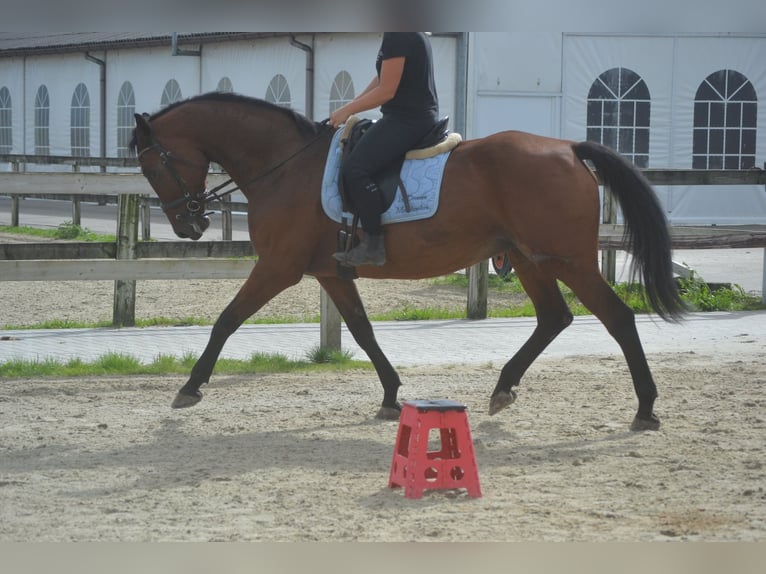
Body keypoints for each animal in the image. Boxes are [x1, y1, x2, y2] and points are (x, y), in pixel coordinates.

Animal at [129, 91, 688, 432]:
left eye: (152, 165)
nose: (188, 225)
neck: (286, 166)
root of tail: (569, 148)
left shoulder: (279, 268)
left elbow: (226, 320)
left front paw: (190, 387)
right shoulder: (331, 272)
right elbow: (362, 330)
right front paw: (391, 396)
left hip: (569, 260)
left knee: (618, 318)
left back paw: (645, 408)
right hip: (530, 258)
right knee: (555, 317)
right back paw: (503, 388)